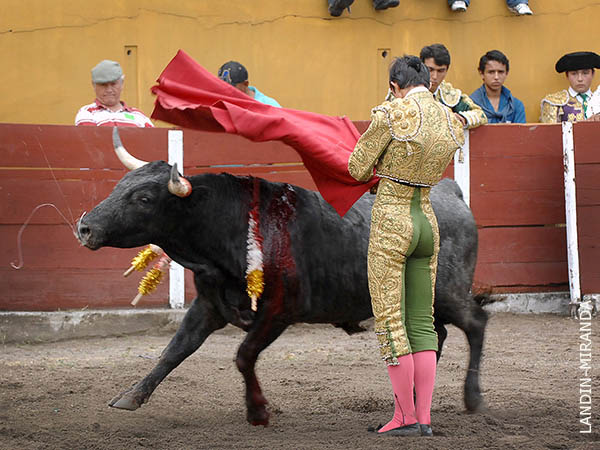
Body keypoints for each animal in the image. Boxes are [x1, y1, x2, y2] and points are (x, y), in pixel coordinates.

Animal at [76, 128, 488, 426]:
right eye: (119, 186)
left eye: (144, 199)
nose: (84, 227)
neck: (228, 228)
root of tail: (450, 192)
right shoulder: (209, 305)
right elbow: (175, 349)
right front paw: (131, 396)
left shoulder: (278, 312)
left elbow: (243, 356)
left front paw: (257, 411)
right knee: (437, 335)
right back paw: (416, 399)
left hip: (449, 293)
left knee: (475, 323)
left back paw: (472, 398)